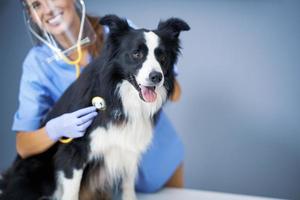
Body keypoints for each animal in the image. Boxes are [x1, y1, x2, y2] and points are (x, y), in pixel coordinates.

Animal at [0, 14, 189, 199]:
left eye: (162, 57)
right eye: (136, 54)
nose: (156, 77)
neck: (119, 96)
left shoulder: (129, 147)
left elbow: (128, 185)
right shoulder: (74, 150)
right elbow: (71, 192)